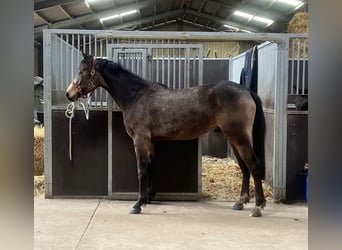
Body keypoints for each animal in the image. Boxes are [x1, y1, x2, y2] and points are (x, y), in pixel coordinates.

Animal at [65, 52, 266, 217]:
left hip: (240, 138)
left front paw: (137, 204)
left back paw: (258, 207)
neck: (136, 96)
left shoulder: (140, 140)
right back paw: (240, 202)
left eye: (82, 71)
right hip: (233, 139)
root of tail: (246, 90)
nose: (69, 94)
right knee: (244, 168)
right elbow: (151, 167)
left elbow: (141, 170)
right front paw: (148, 198)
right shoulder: (151, 141)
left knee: (254, 167)